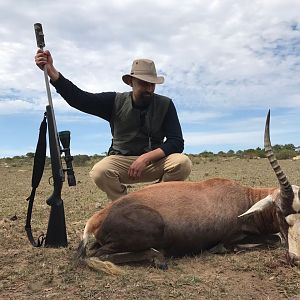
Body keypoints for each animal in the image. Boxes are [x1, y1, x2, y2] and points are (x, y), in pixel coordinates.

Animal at [76, 110, 300, 272]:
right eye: (280, 212)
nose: (295, 259)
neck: (244, 199)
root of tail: (98, 217)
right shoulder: (231, 238)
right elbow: (273, 240)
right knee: (97, 255)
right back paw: (158, 258)